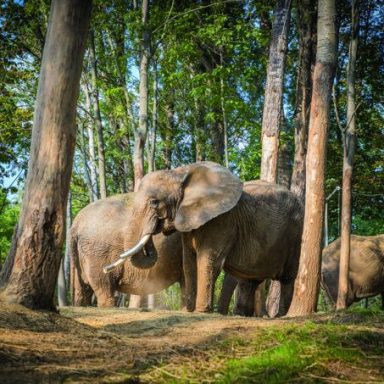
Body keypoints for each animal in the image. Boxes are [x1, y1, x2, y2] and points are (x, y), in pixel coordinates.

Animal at [104, 162, 304, 316]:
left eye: (154, 202)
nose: (106, 269)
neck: (180, 173)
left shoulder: (221, 222)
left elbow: (208, 261)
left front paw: (201, 311)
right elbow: (188, 263)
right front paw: (187, 311)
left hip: (295, 234)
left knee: (287, 278)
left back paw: (282, 315)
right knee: (250, 281)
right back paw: (243, 315)